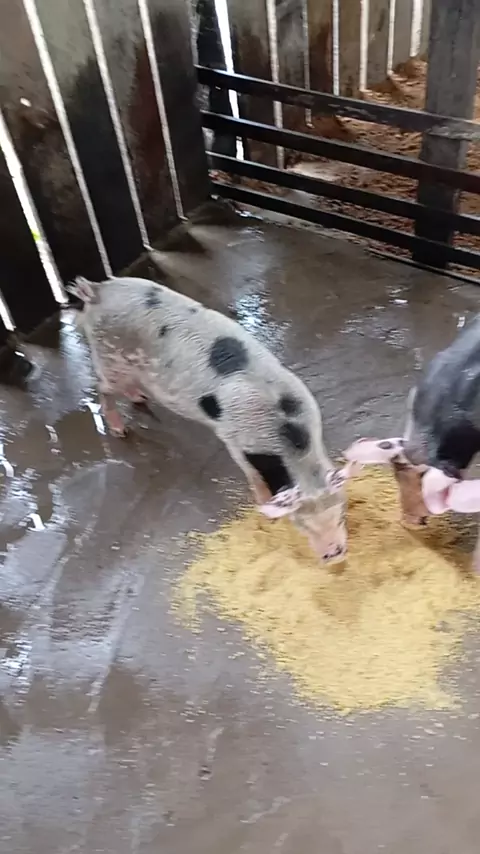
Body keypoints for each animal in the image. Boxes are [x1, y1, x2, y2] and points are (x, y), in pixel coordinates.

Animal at [68, 275, 348, 563]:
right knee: (102, 388)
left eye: (340, 515)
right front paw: (266, 509)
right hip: (110, 358)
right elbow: (255, 479)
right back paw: (119, 430)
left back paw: (139, 398)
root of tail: (97, 292)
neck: (291, 438)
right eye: (302, 524)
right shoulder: (236, 443)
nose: (335, 554)